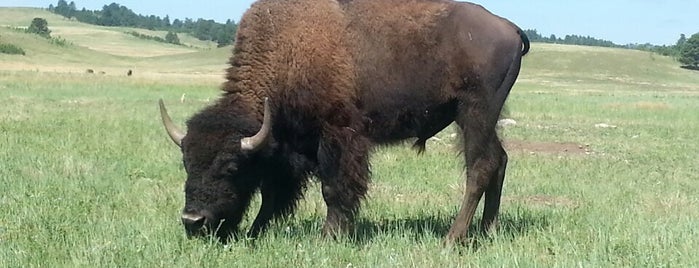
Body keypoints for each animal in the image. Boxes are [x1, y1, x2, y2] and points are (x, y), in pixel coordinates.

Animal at [160, 0, 532, 243]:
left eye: (232, 167)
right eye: (186, 163)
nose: (193, 221)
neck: (287, 51)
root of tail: (510, 28)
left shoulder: (337, 136)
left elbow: (333, 188)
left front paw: (330, 235)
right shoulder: (289, 147)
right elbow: (273, 193)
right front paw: (255, 233)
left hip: (475, 113)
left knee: (480, 167)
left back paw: (453, 238)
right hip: (482, 118)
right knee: (499, 160)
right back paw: (487, 231)